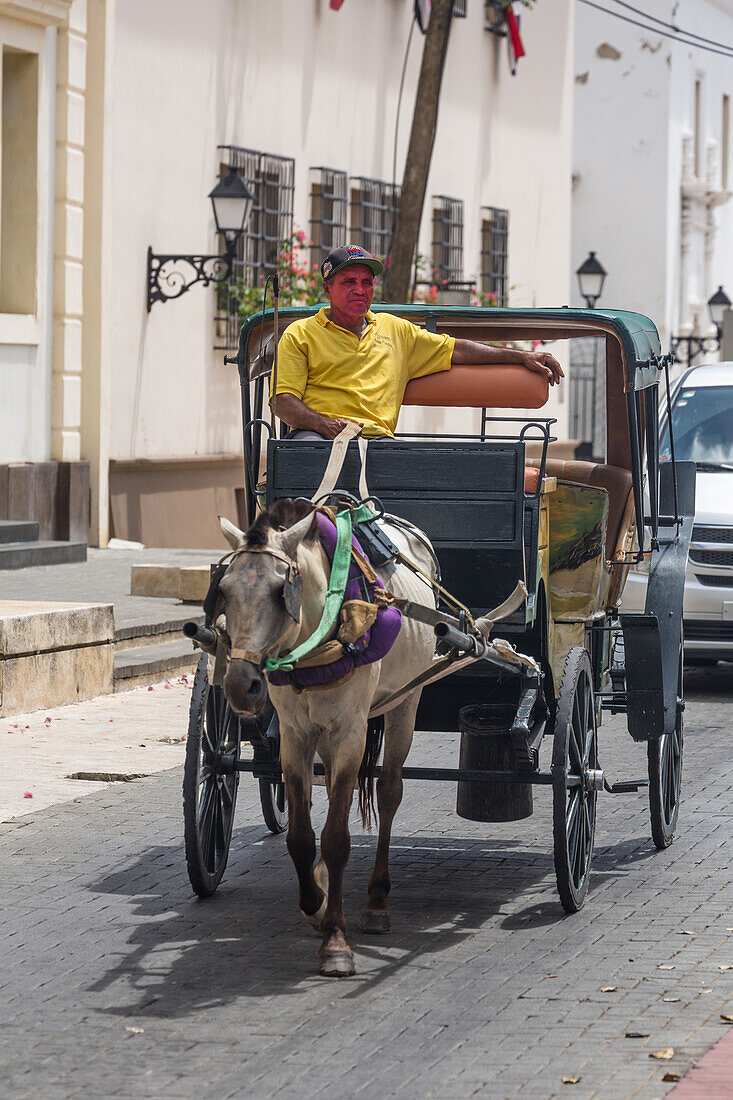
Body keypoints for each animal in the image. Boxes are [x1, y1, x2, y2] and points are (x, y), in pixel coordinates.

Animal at [216, 501, 433, 981]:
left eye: (281, 590)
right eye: (222, 588)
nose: (240, 685)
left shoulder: (350, 730)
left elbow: (336, 839)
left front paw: (335, 941)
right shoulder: (295, 736)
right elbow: (300, 835)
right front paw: (315, 904)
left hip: (405, 703)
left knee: (389, 791)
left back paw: (376, 901)